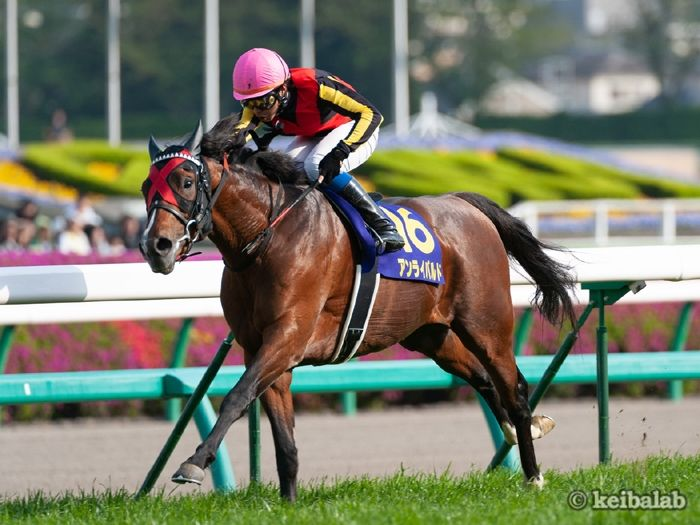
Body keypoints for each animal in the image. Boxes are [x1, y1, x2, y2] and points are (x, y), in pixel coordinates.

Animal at [140, 118, 576, 501]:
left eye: (186, 181)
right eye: (146, 186)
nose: (155, 246)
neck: (265, 239)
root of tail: (464, 203)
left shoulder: (288, 337)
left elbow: (236, 396)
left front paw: (194, 463)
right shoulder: (261, 348)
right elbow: (283, 437)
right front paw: (288, 501)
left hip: (487, 323)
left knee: (514, 387)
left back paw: (533, 474)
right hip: (430, 335)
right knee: (483, 379)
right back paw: (526, 429)